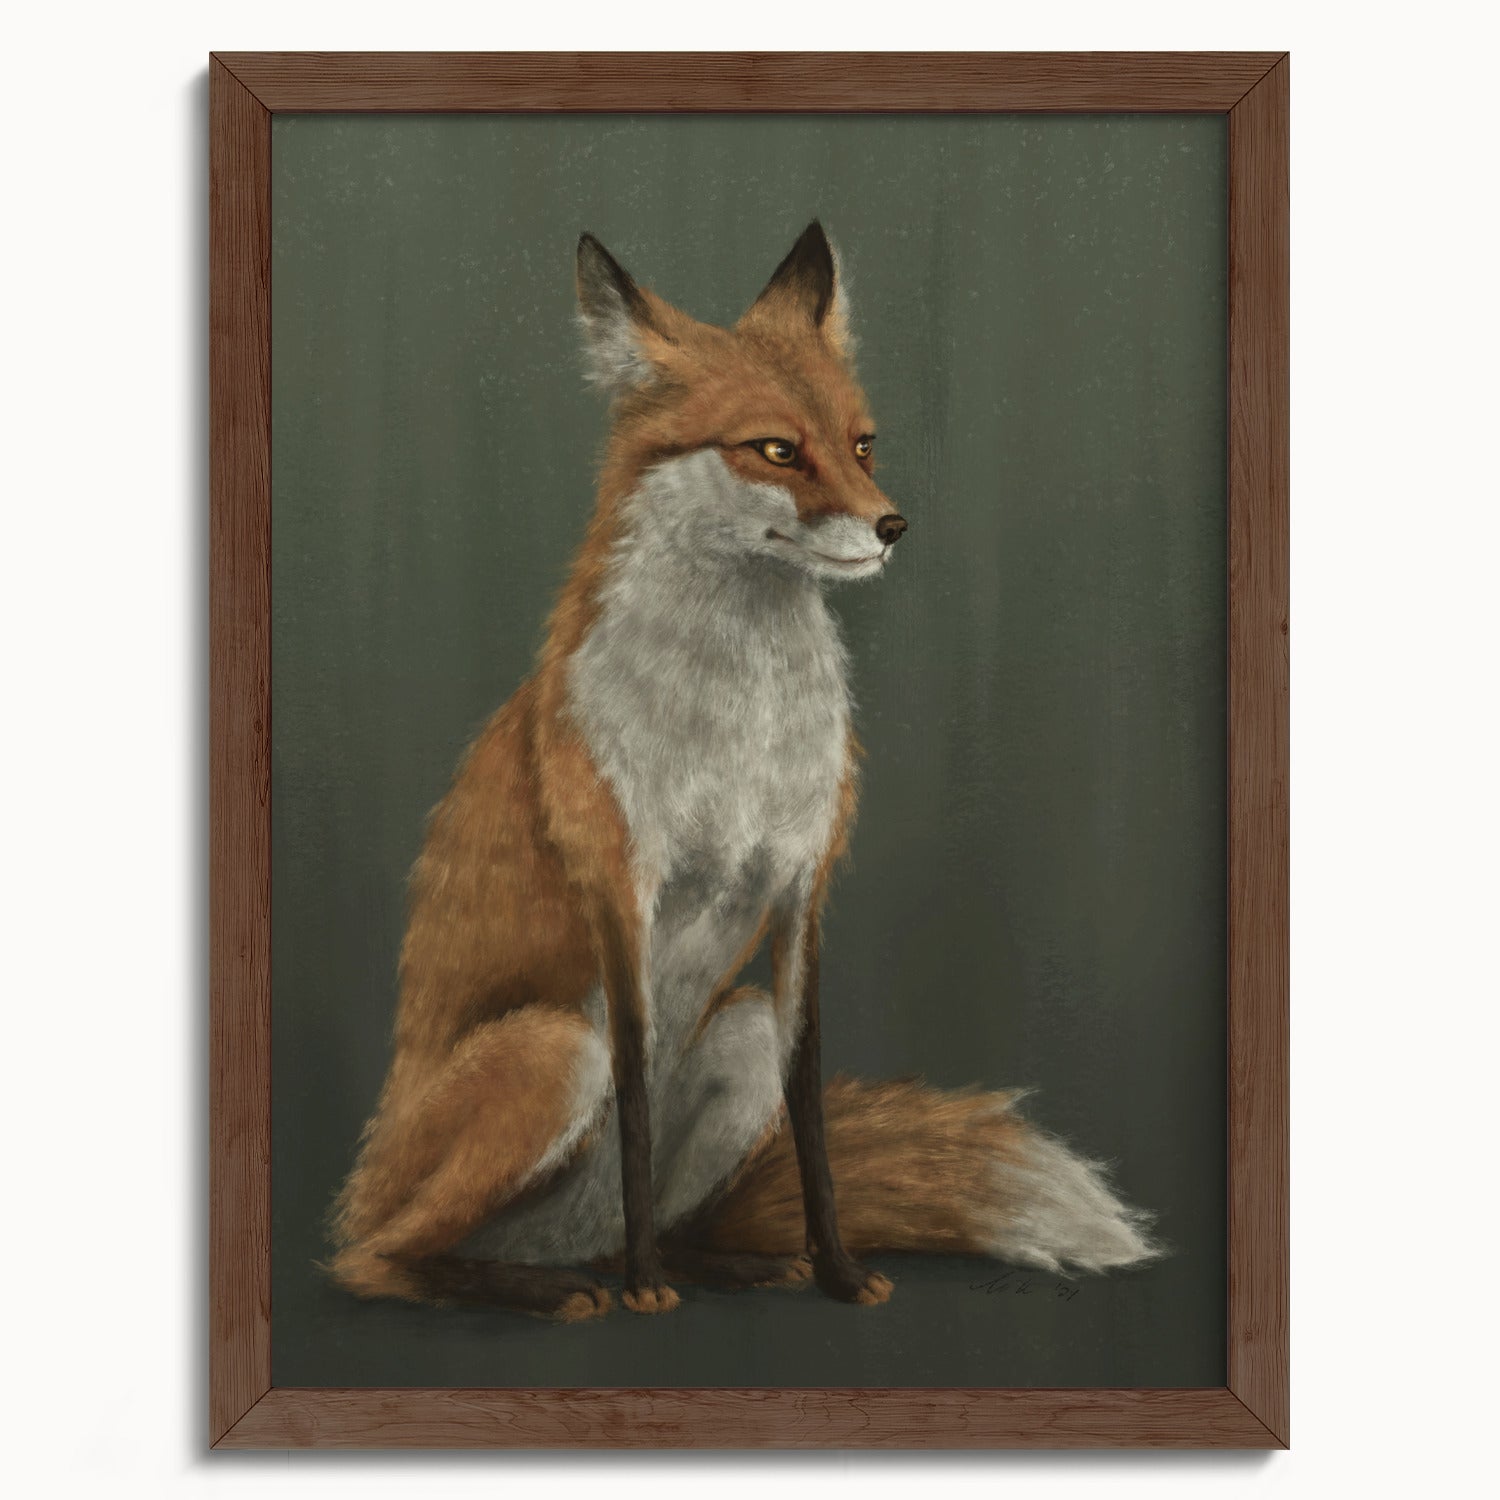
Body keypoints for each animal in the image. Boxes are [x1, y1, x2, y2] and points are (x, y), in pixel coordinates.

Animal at [327, 222, 1157, 1321]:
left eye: (862, 443)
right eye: (775, 450)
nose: (893, 526)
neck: (739, 731)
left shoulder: (802, 890)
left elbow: (810, 1115)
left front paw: (837, 1271)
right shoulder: (622, 893)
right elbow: (636, 1101)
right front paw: (645, 1292)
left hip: (738, 1033)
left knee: (667, 1215)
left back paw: (720, 1263)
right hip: (552, 1051)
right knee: (379, 1260)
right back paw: (555, 1286)